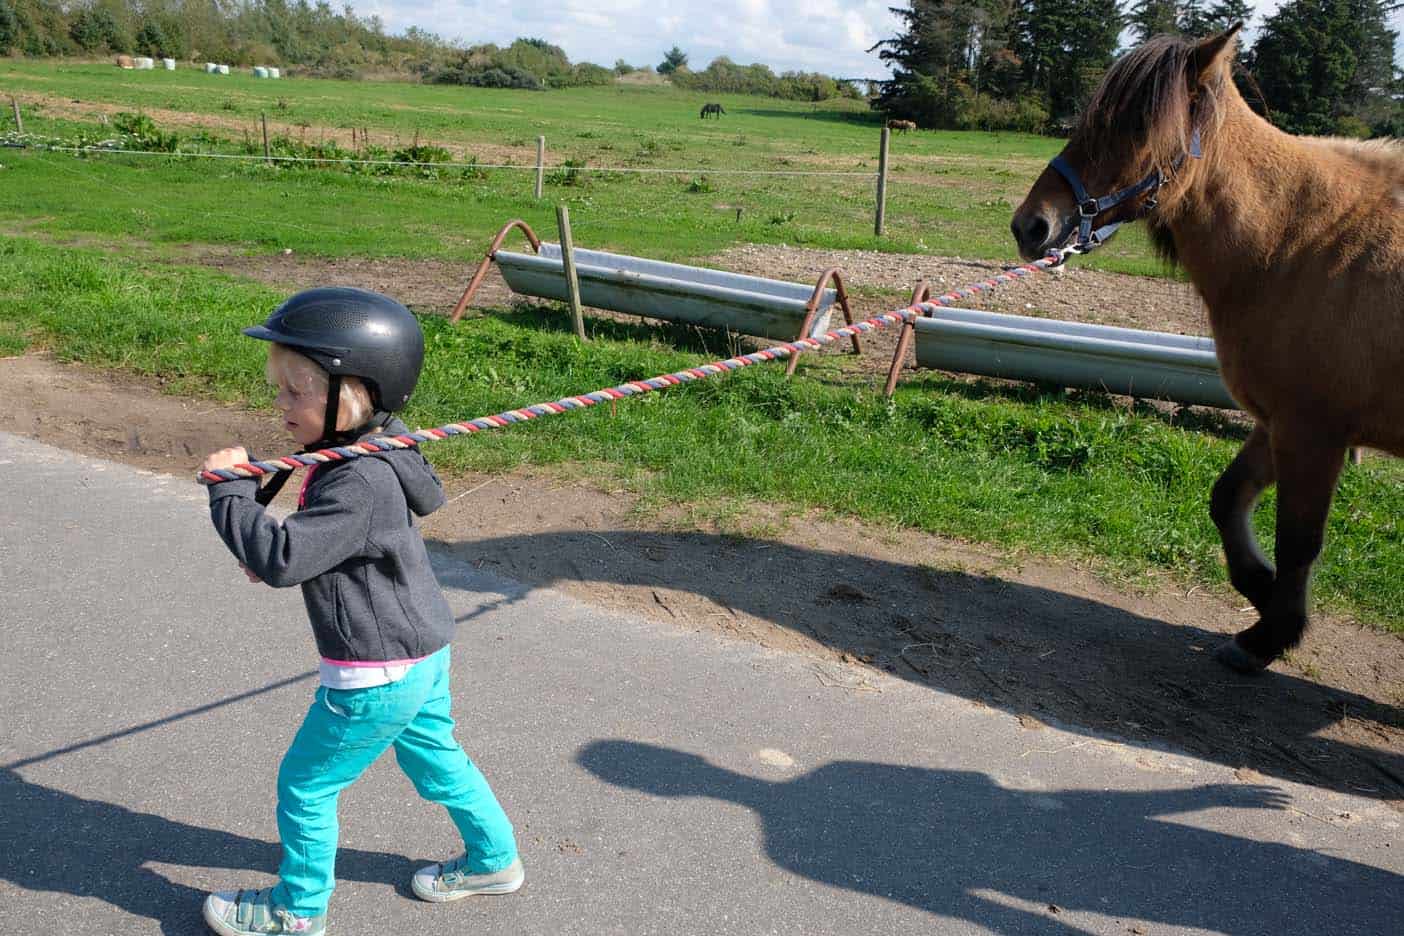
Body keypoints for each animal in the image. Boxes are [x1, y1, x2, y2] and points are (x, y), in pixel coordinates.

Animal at [1010, 27, 1404, 673]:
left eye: (1133, 128)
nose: (1031, 227)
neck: (1306, 240)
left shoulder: (1313, 433)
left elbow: (1299, 541)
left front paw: (1270, 635)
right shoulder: (1278, 424)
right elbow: (1227, 500)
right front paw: (1265, 595)